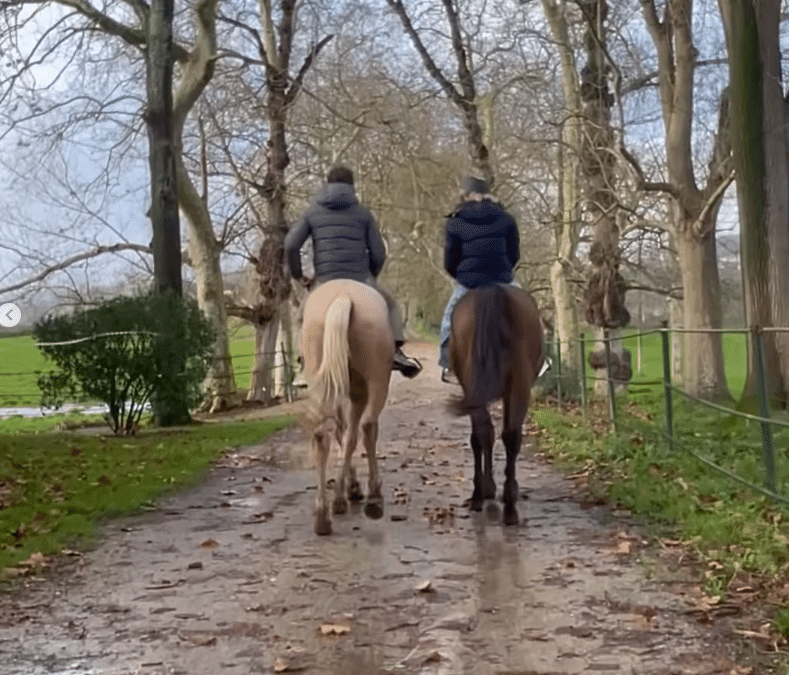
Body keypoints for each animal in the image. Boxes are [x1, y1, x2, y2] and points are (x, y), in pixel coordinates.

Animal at [300, 278, 394, 535]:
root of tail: (343, 295)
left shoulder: (349, 395)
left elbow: (345, 438)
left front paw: (343, 495)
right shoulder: (359, 395)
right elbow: (351, 438)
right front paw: (349, 492)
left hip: (322, 384)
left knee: (322, 435)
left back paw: (322, 515)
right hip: (378, 382)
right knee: (368, 426)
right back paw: (374, 498)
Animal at [447, 284, 545, 526]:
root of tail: (492, 290)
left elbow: (481, 437)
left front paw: (487, 488)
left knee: (486, 434)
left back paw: (482, 497)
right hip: (518, 385)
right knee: (510, 436)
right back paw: (509, 505)